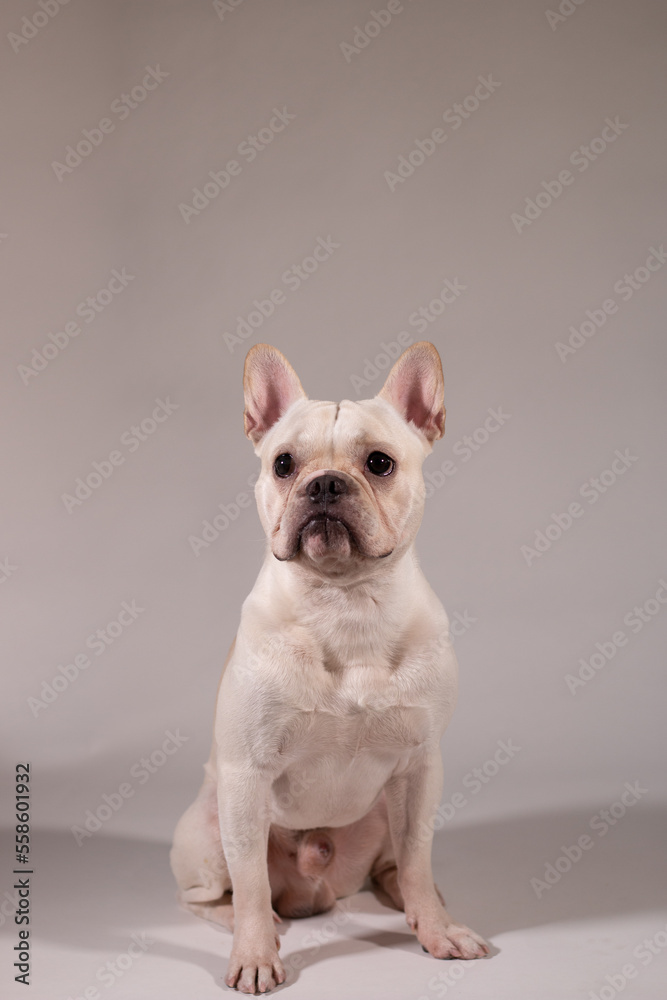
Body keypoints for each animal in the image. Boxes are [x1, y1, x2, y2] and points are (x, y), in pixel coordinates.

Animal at [170, 342, 488, 992]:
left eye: (380, 462)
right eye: (283, 464)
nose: (324, 485)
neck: (346, 601)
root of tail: (315, 891)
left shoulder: (421, 768)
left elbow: (419, 857)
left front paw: (437, 930)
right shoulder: (246, 777)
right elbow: (250, 880)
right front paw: (254, 954)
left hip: (386, 812)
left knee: (399, 865)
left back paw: (406, 901)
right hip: (206, 831)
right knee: (216, 894)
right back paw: (261, 921)